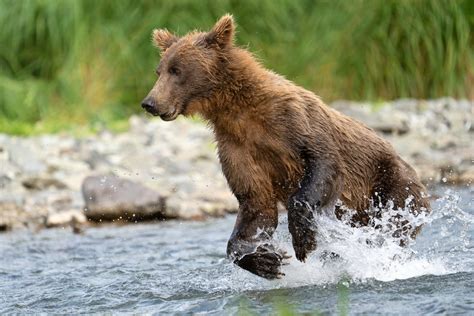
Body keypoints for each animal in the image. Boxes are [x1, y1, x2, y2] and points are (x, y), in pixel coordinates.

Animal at [140, 14, 430, 278]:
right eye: (159, 70)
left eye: (177, 70)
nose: (150, 102)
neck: (237, 110)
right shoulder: (236, 146)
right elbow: (255, 203)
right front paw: (265, 259)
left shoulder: (292, 120)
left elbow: (323, 161)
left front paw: (303, 239)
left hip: (394, 187)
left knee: (391, 226)